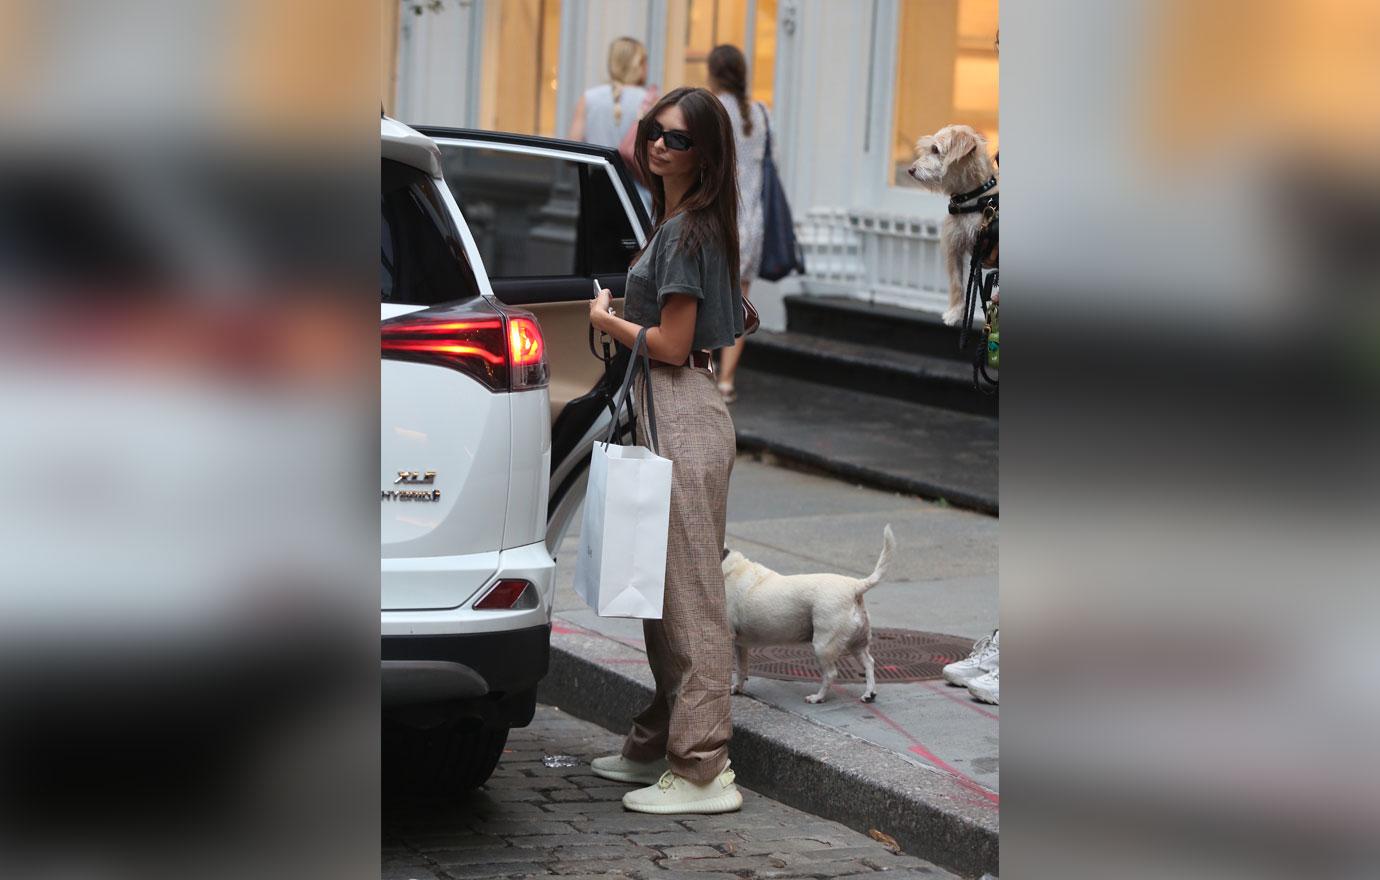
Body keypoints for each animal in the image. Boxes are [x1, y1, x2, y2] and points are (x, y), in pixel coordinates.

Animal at [717, 526, 899, 706]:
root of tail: (855, 586)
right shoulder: (740, 644)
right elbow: (741, 669)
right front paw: (737, 689)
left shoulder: (728, 637)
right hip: (857, 643)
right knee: (869, 663)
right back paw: (869, 694)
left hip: (823, 645)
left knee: (831, 673)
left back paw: (818, 697)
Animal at [899, 124, 999, 328]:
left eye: (935, 150)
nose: (910, 169)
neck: (972, 199)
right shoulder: (954, 247)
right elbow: (956, 282)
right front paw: (955, 313)